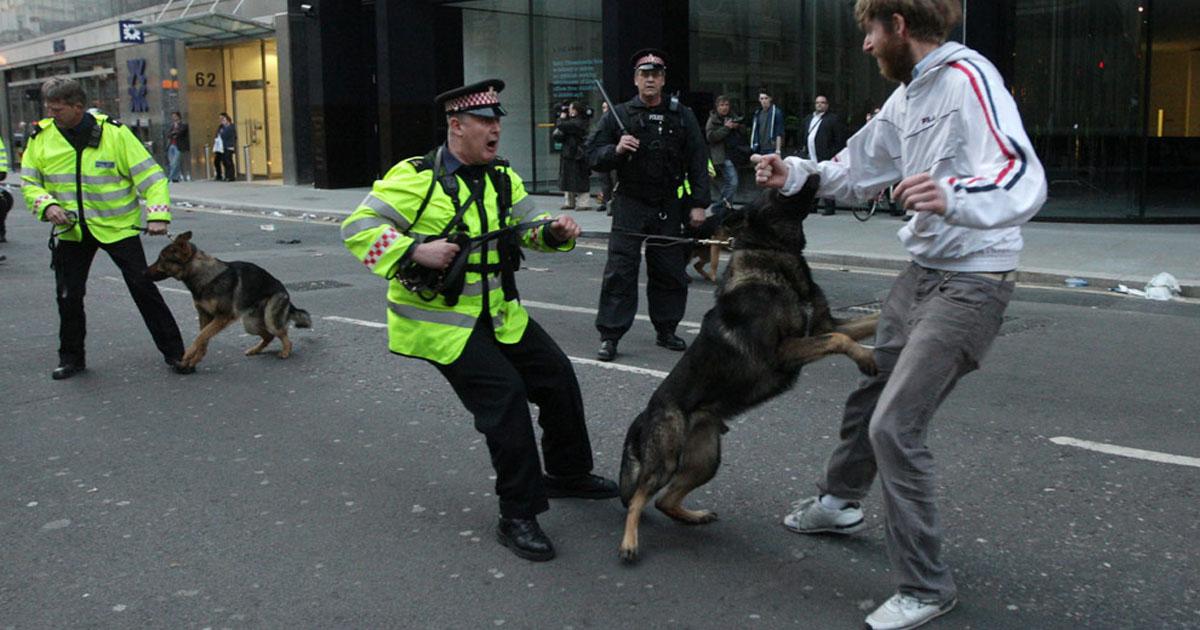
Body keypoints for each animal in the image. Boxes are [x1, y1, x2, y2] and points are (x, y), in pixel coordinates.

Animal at [145, 230, 312, 369]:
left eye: (162, 259)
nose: (142, 272)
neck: (204, 275)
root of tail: (284, 291)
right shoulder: (205, 315)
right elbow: (203, 337)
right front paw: (194, 359)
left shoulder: (222, 317)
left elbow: (201, 335)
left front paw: (188, 354)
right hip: (250, 324)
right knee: (268, 336)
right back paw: (255, 350)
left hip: (270, 320)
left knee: (283, 335)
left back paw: (286, 351)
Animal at [619, 175, 883, 559]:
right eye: (775, 191)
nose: (815, 172)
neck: (774, 258)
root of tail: (645, 415)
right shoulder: (786, 349)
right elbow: (838, 340)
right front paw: (867, 358)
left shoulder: (826, 324)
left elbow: (866, 324)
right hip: (665, 459)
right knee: (640, 497)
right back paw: (629, 542)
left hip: (706, 459)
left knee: (664, 501)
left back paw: (692, 516)